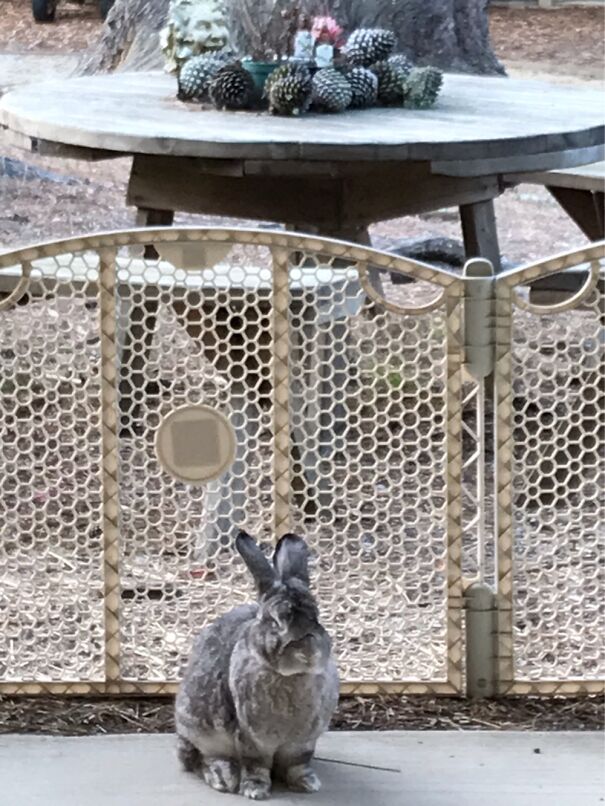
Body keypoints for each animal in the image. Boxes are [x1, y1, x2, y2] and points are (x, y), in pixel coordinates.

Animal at [175, 530, 339, 800]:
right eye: (273, 621)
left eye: (316, 618)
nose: (306, 651)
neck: (291, 676)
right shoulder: (250, 738)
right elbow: (256, 765)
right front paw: (255, 790)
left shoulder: (302, 744)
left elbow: (298, 764)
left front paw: (308, 784)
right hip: (197, 730)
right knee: (195, 758)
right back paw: (223, 776)